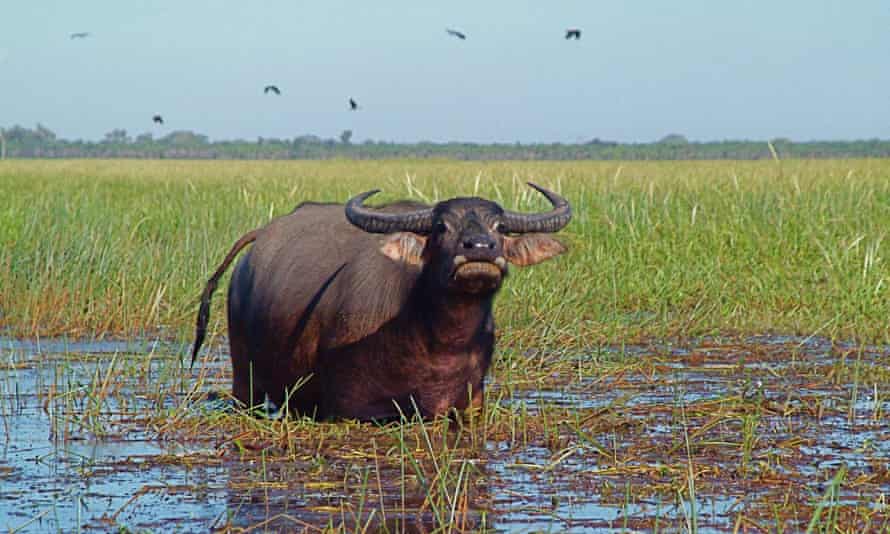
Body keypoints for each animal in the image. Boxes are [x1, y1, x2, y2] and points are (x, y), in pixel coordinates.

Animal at [191, 183, 571, 420]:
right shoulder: (352, 409)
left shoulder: (471, 404)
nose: (480, 249)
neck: (438, 343)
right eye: (441, 227)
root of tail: (259, 239)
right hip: (243, 375)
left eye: (500, 228)